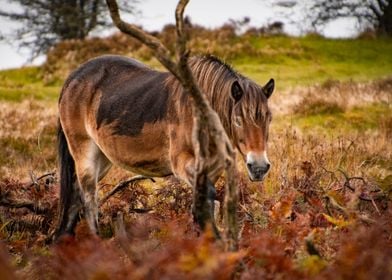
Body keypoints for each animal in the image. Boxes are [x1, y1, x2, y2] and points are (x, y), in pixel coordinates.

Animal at [55, 54, 274, 238]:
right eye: (238, 120)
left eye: (269, 119)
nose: (259, 167)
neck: (201, 114)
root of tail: (71, 80)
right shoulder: (183, 163)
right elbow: (206, 200)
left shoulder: (213, 169)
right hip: (85, 152)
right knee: (88, 198)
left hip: (103, 158)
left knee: (75, 195)